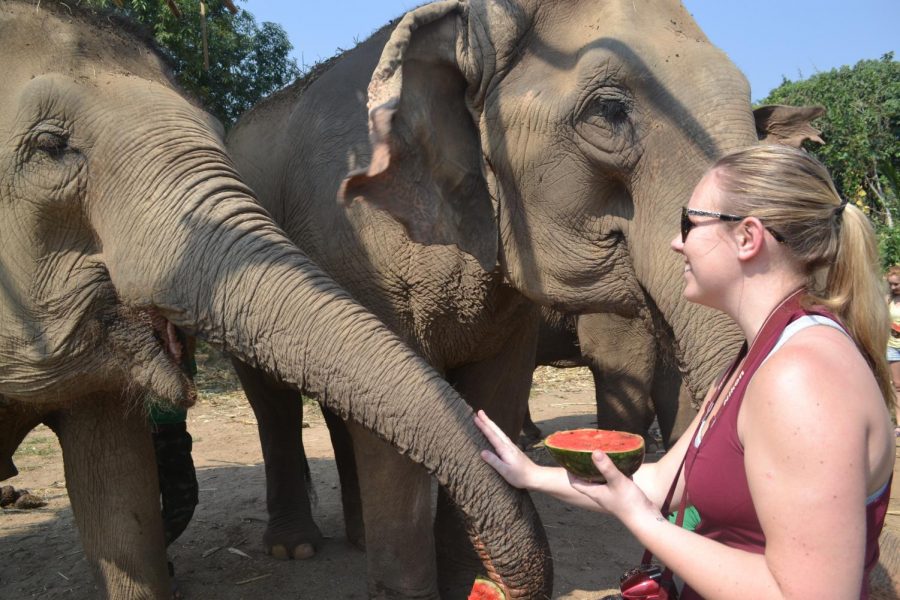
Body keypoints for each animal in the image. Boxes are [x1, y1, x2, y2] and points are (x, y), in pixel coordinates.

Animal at [223, 2, 836, 596]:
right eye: (609, 111)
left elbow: (496, 388)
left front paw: (470, 577)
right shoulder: (359, 247)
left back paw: (355, 538)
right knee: (274, 403)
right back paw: (295, 547)